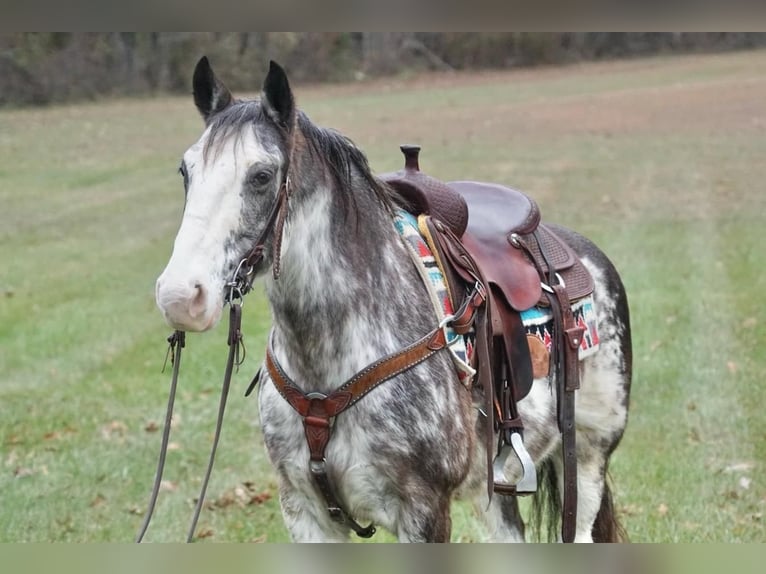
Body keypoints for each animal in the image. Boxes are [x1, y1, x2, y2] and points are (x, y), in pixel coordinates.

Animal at [156, 58, 636, 544]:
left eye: (261, 175)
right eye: (185, 171)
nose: (180, 296)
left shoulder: (424, 511)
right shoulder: (304, 510)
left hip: (590, 454)